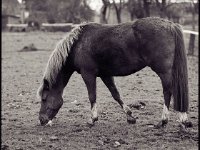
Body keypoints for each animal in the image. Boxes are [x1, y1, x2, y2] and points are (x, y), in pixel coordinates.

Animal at [36, 17, 191, 129]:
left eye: (44, 99)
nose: (42, 120)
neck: (78, 44)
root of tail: (170, 24)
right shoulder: (105, 75)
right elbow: (116, 95)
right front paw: (130, 117)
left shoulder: (88, 74)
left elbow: (92, 96)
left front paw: (92, 120)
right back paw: (183, 119)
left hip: (163, 71)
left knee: (167, 92)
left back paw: (164, 121)